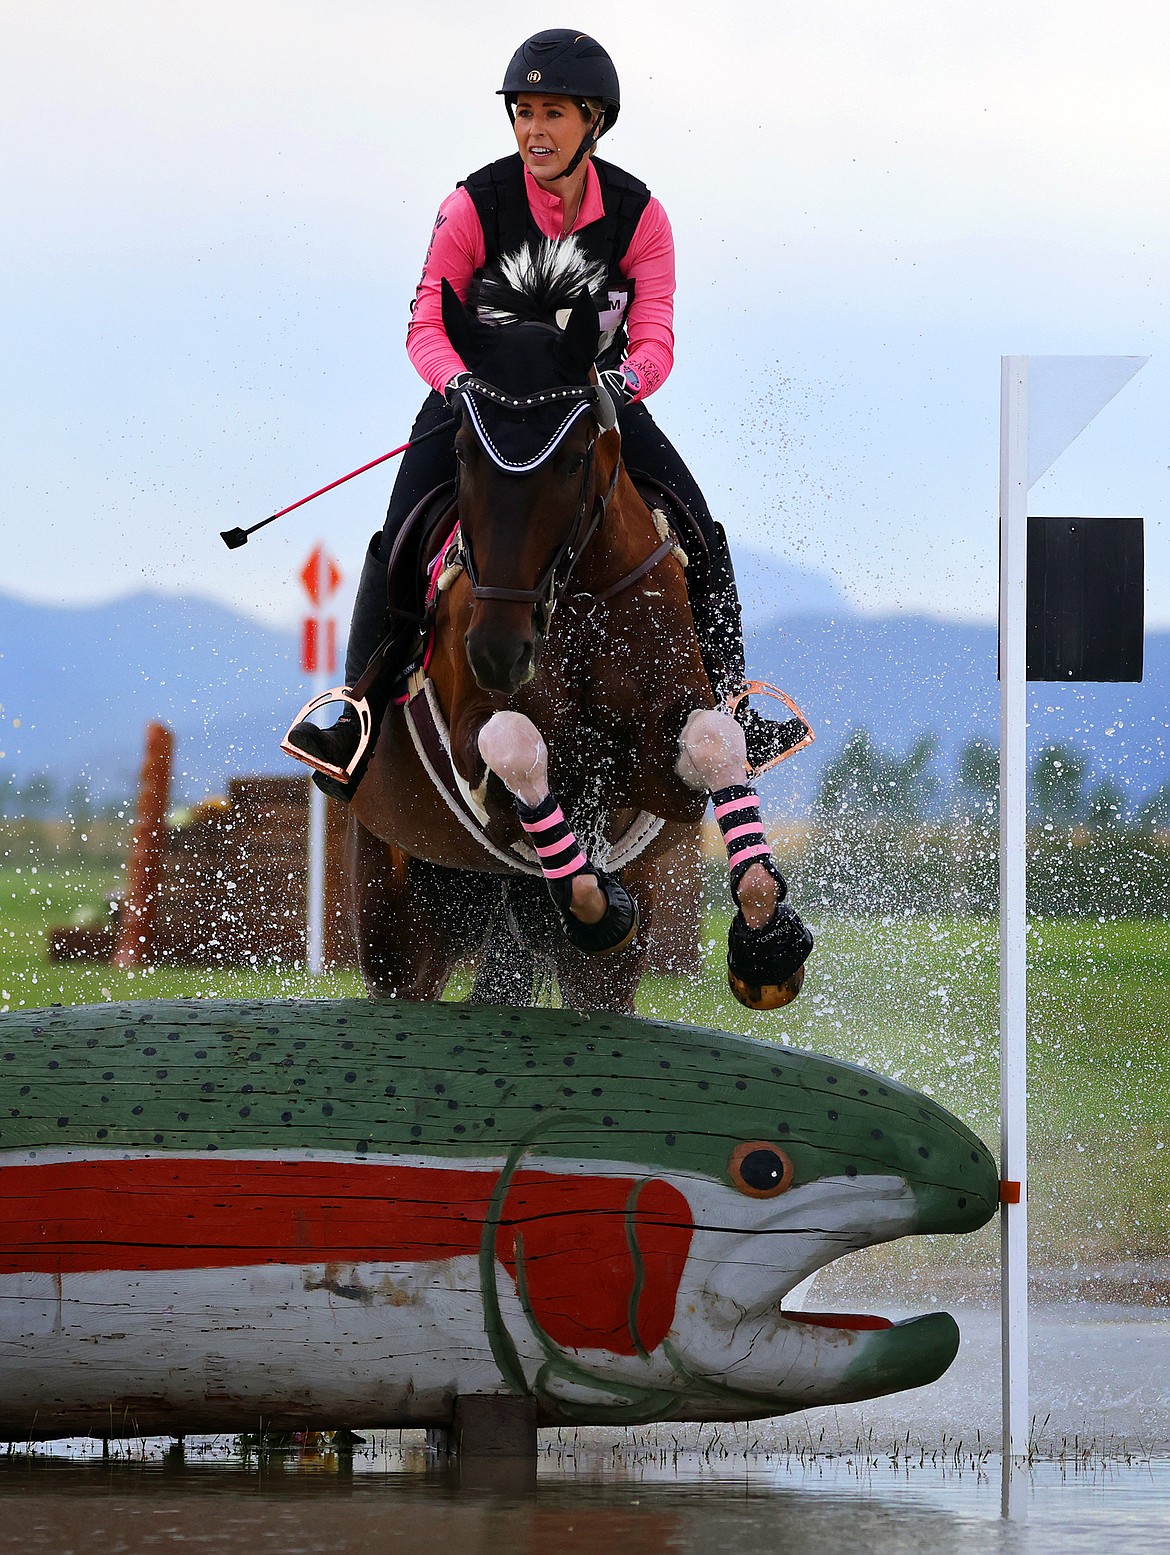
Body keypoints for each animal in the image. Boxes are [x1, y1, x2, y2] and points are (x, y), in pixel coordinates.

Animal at [342, 237, 809, 1013]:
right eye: (463, 452)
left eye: (572, 458)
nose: (498, 652)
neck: (580, 599)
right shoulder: (478, 762)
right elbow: (515, 741)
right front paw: (592, 900)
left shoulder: (659, 765)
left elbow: (713, 739)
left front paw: (765, 939)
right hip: (398, 919)